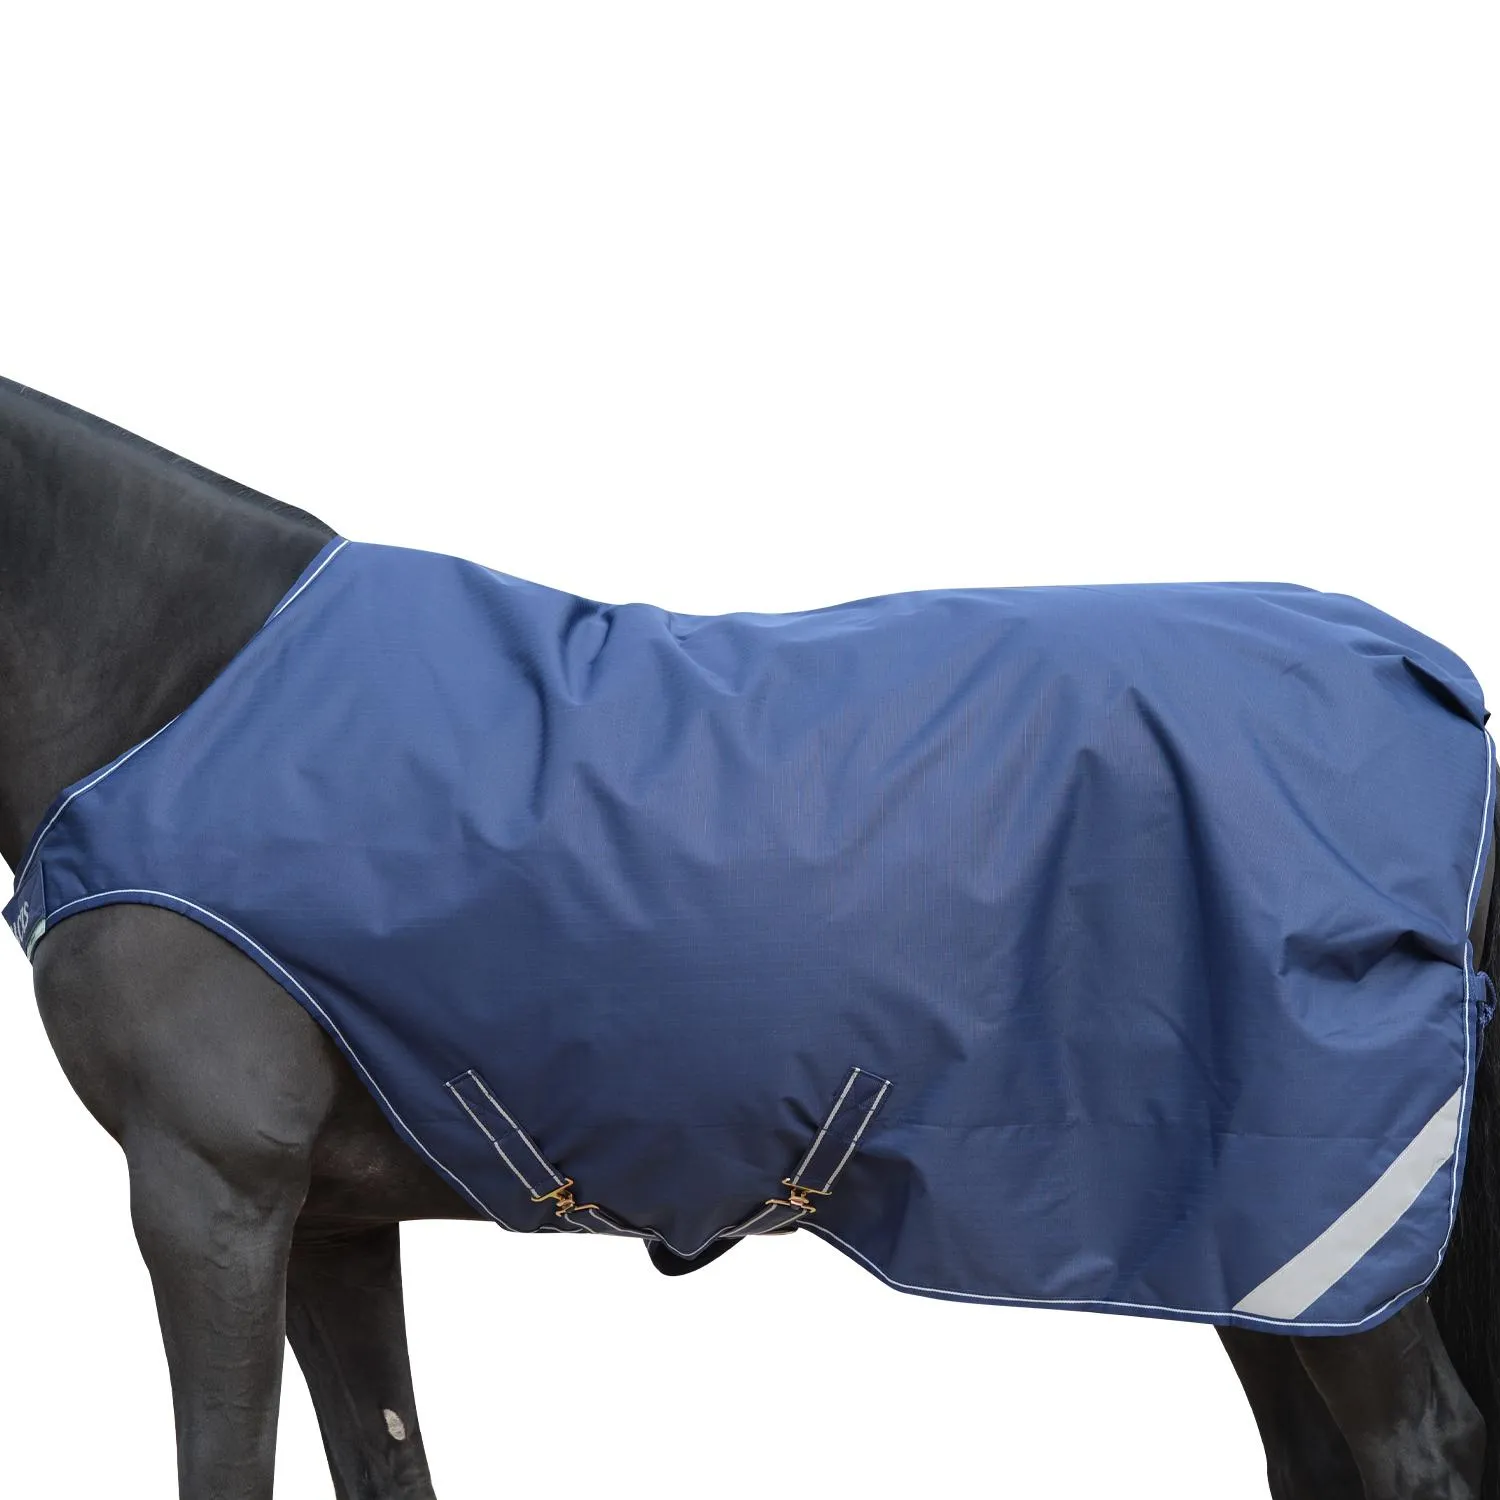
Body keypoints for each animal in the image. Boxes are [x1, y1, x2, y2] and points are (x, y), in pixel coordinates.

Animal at [2, 373, 1497, 1500]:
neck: (178, 684)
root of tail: (1426, 675)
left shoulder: (211, 1193)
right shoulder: (329, 1218)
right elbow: (386, 1464)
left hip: (1327, 1220)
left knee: (1422, 1448)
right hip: (1243, 1243)